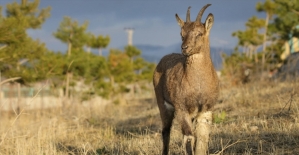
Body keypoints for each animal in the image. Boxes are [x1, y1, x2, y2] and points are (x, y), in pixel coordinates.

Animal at [154, 4, 219, 154]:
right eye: (181, 33)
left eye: (199, 33)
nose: (184, 48)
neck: (198, 85)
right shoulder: (181, 109)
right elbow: (189, 138)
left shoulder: (206, 110)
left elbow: (201, 140)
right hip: (163, 105)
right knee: (166, 131)